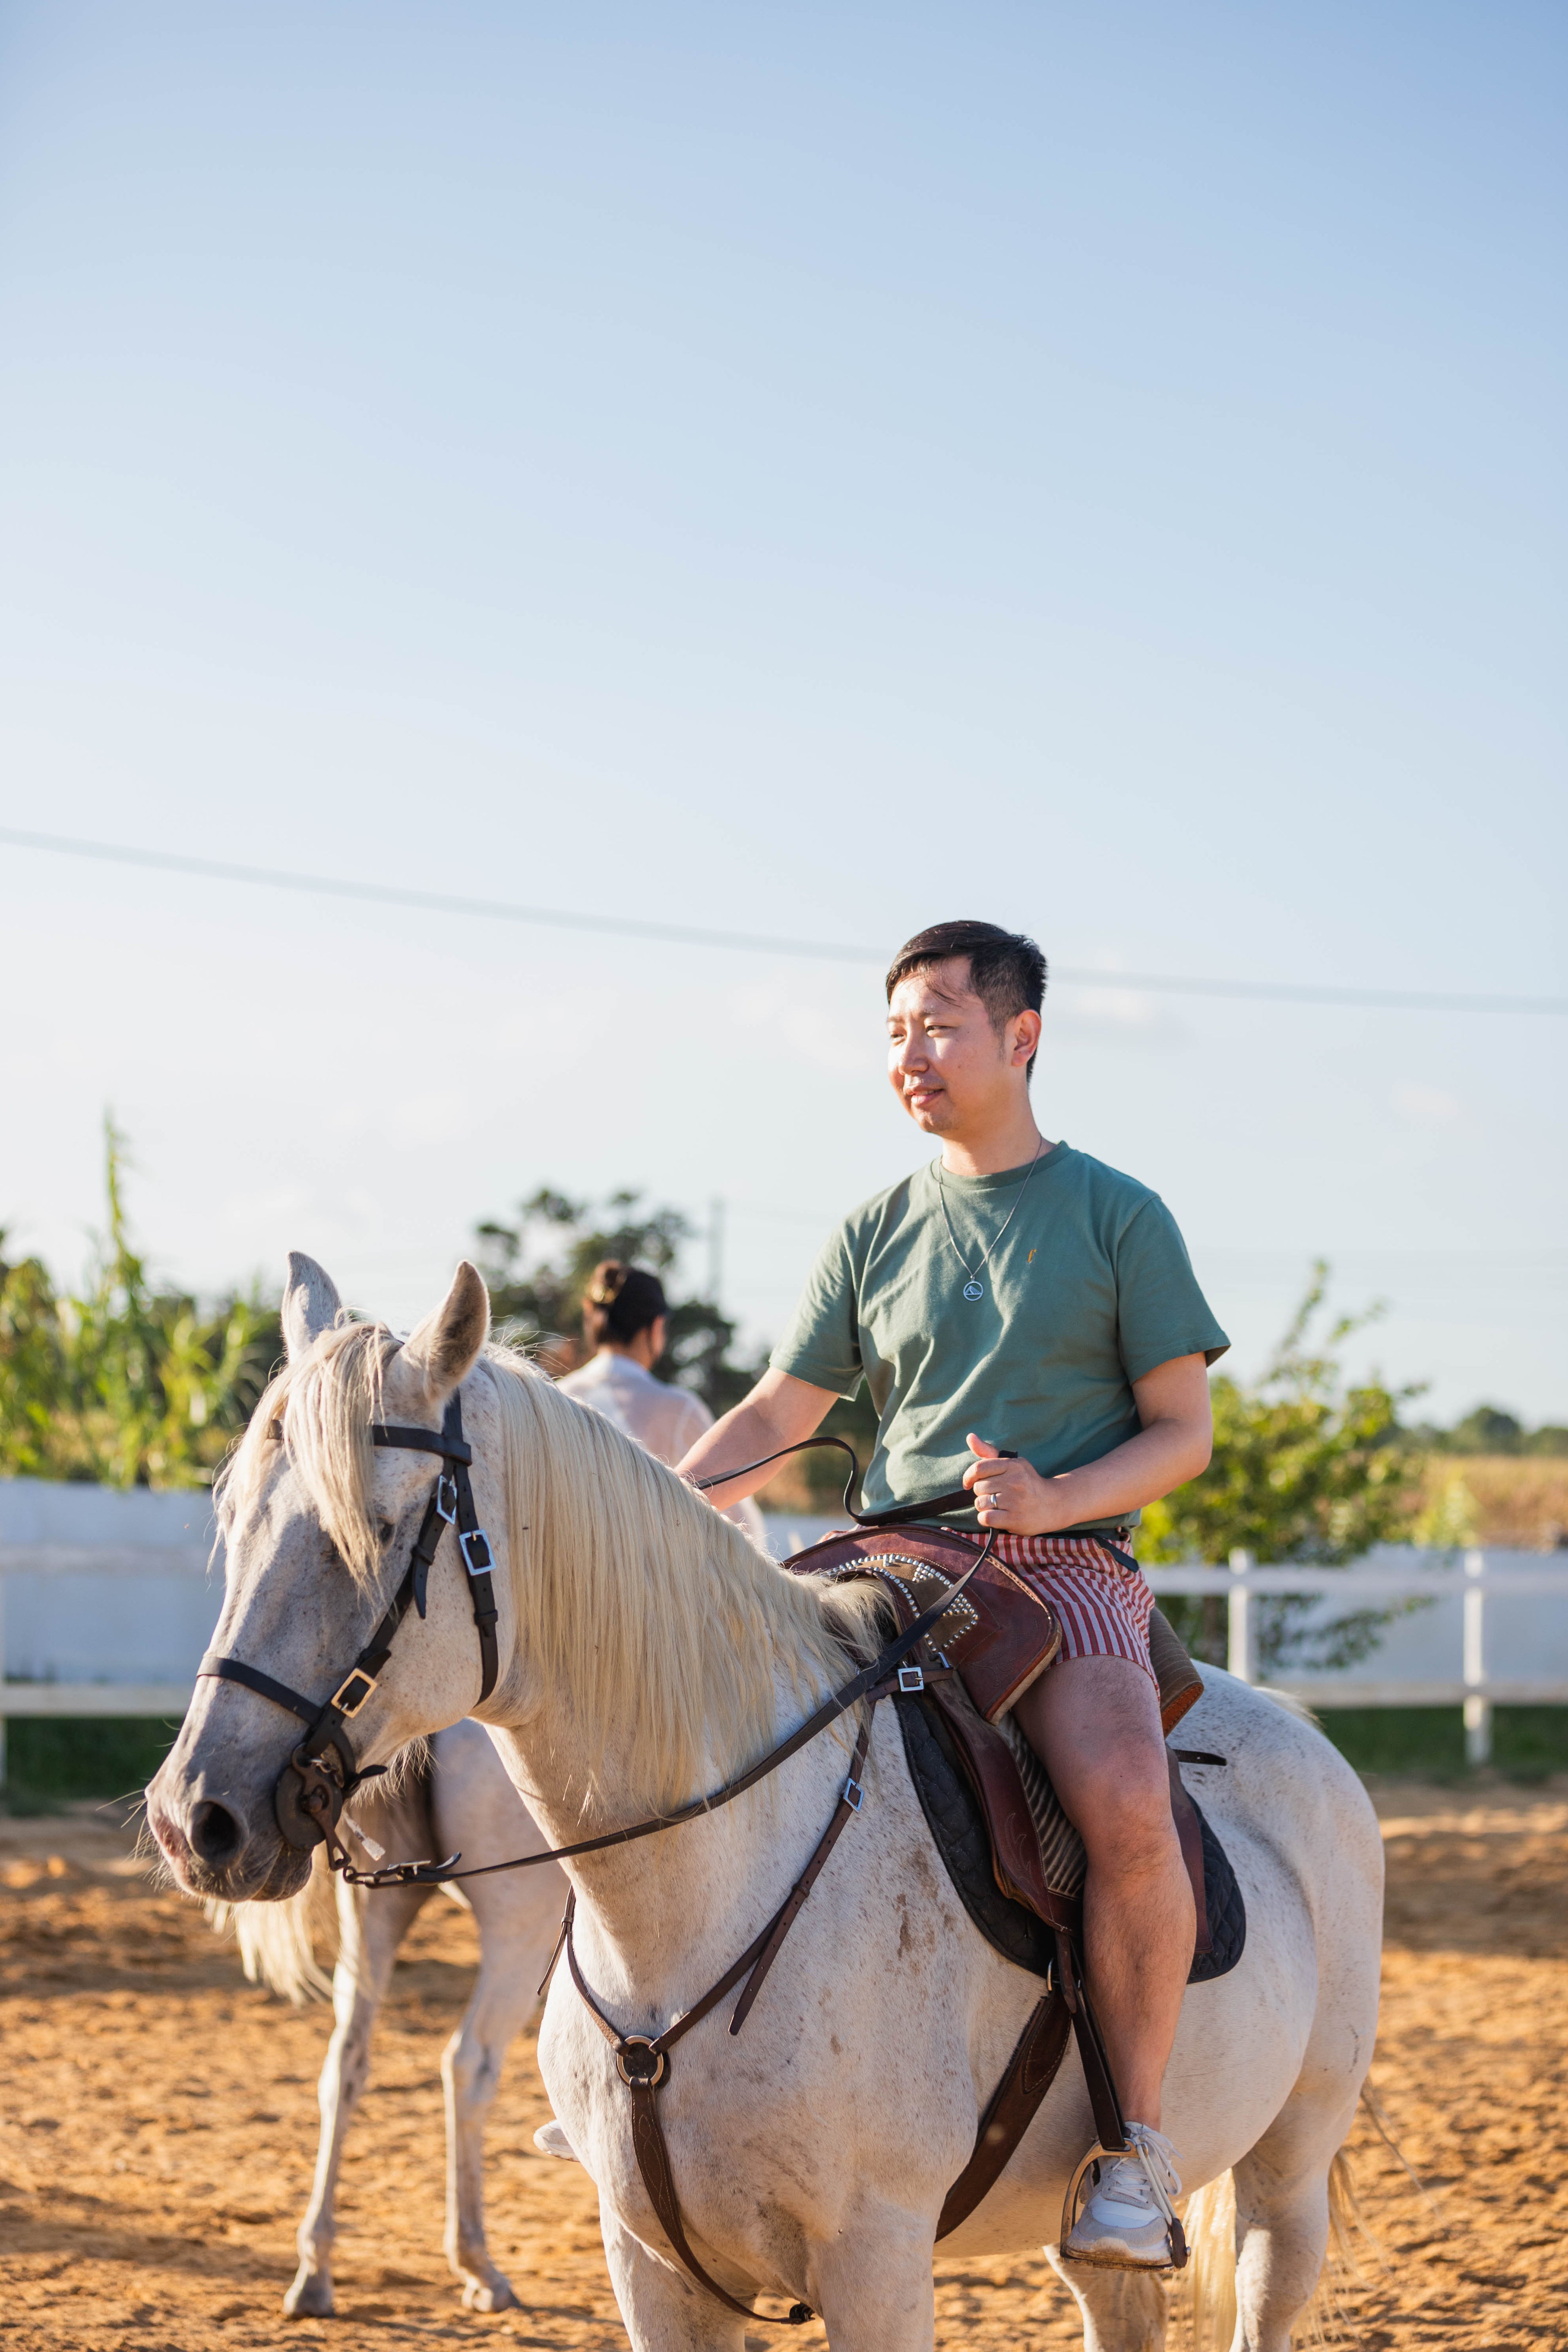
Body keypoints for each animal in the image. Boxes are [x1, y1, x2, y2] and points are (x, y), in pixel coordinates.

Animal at [207, 1722, 564, 2323]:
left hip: (376, 1916)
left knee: (345, 2065)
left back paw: (315, 2270)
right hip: (523, 1926)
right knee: (469, 2064)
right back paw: (478, 2264)